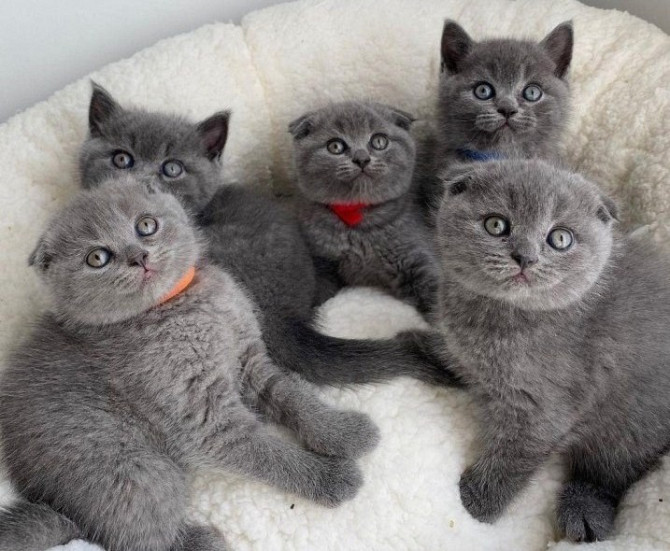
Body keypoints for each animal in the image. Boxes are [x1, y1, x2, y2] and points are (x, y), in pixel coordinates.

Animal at [434, 160, 670, 544]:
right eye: (496, 224)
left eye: (560, 238)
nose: (525, 257)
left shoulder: (543, 406)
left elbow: (513, 457)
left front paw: (475, 503)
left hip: (633, 418)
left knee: (610, 472)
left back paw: (584, 510)